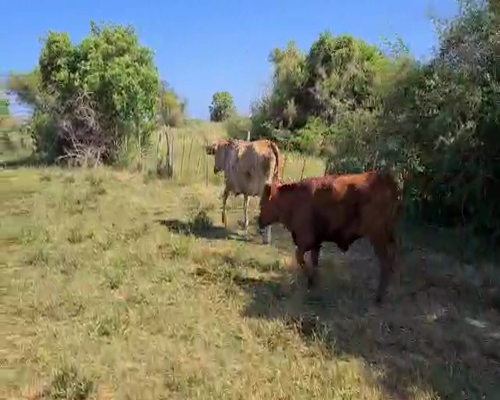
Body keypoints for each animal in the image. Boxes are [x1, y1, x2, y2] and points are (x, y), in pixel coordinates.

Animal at [258, 170, 402, 304]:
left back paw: (379, 297)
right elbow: (314, 262)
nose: (259, 222)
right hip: (388, 234)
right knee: (393, 254)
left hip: (377, 236)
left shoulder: (305, 240)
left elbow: (300, 258)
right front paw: (312, 283)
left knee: (385, 263)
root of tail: (386, 179)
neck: (294, 200)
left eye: (262, 204)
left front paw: (310, 280)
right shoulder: (316, 243)